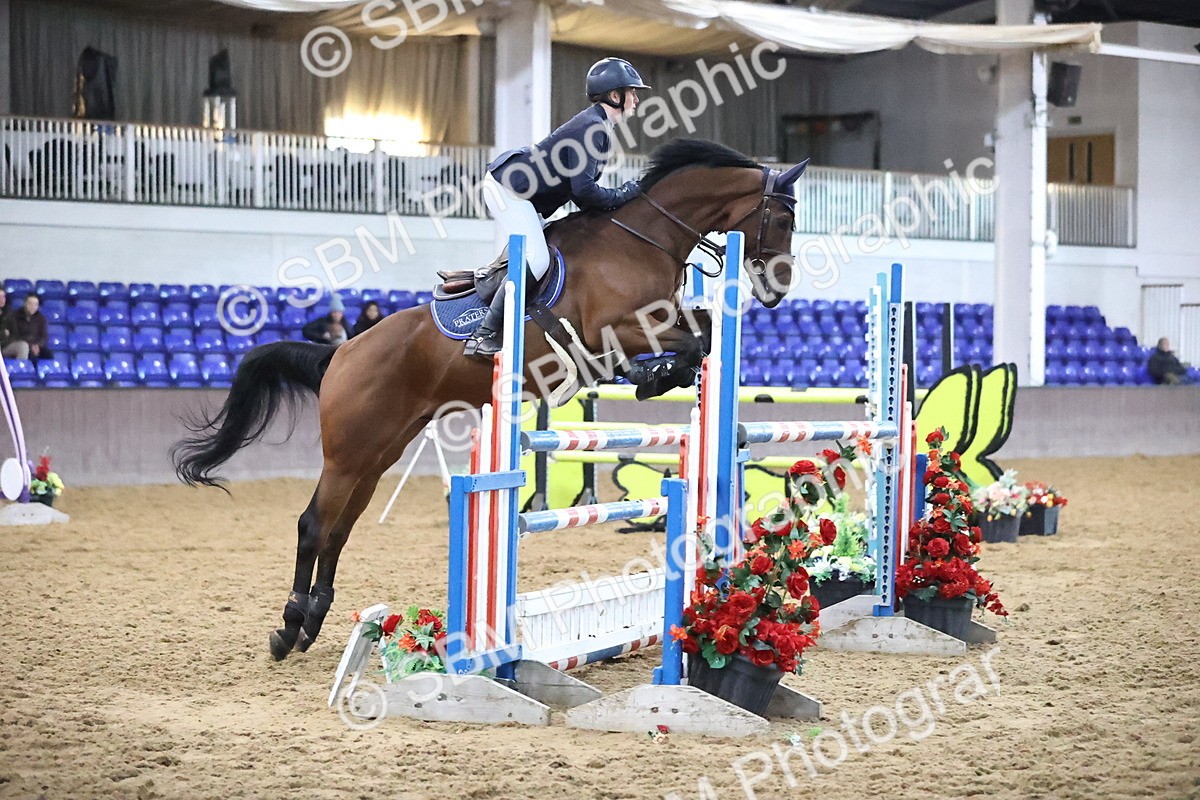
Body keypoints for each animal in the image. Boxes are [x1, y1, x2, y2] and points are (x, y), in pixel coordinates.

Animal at [171, 138, 807, 661]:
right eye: (784, 217)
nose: (778, 291)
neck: (644, 238)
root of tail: (342, 352)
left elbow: (703, 330)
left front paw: (665, 376)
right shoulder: (617, 328)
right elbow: (692, 337)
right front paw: (654, 375)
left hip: (377, 455)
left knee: (339, 528)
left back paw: (312, 623)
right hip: (348, 453)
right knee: (312, 524)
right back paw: (287, 629)